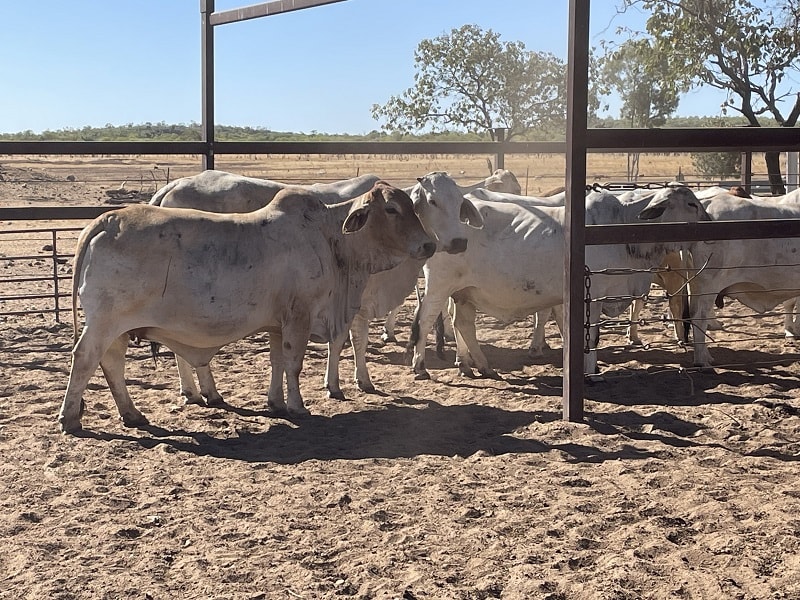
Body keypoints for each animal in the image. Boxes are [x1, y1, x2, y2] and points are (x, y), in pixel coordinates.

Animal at [58, 183, 436, 434]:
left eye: (412, 207)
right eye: (391, 209)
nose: (429, 245)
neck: (331, 239)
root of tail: (105, 221)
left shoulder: (277, 323)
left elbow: (277, 363)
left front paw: (276, 402)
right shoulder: (299, 317)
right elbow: (294, 364)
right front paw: (298, 407)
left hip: (117, 329)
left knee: (111, 363)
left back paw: (132, 414)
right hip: (104, 323)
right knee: (85, 358)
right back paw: (70, 417)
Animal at [405, 173, 710, 378]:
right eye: (692, 205)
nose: (709, 222)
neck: (622, 225)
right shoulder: (593, 295)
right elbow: (591, 336)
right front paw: (590, 371)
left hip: (464, 292)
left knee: (464, 324)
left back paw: (479, 365)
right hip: (440, 285)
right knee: (426, 318)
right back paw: (420, 365)